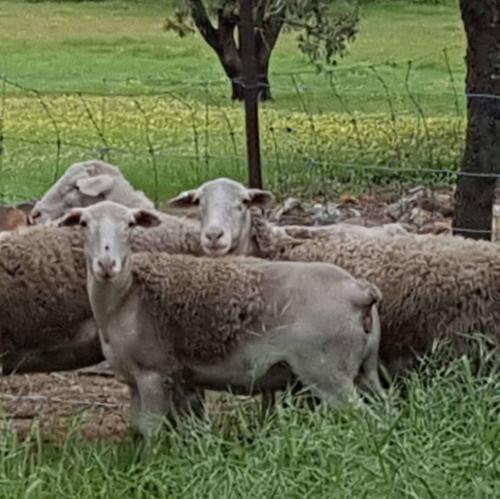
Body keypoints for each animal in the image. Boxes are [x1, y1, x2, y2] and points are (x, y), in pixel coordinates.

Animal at [58, 202, 382, 438]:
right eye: (84, 224)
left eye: (130, 225)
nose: (106, 264)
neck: (126, 297)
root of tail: (359, 290)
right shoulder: (135, 381)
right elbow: (137, 429)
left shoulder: (153, 374)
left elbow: (151, 432)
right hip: (365, 369)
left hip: (328, 373)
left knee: (364, 420)